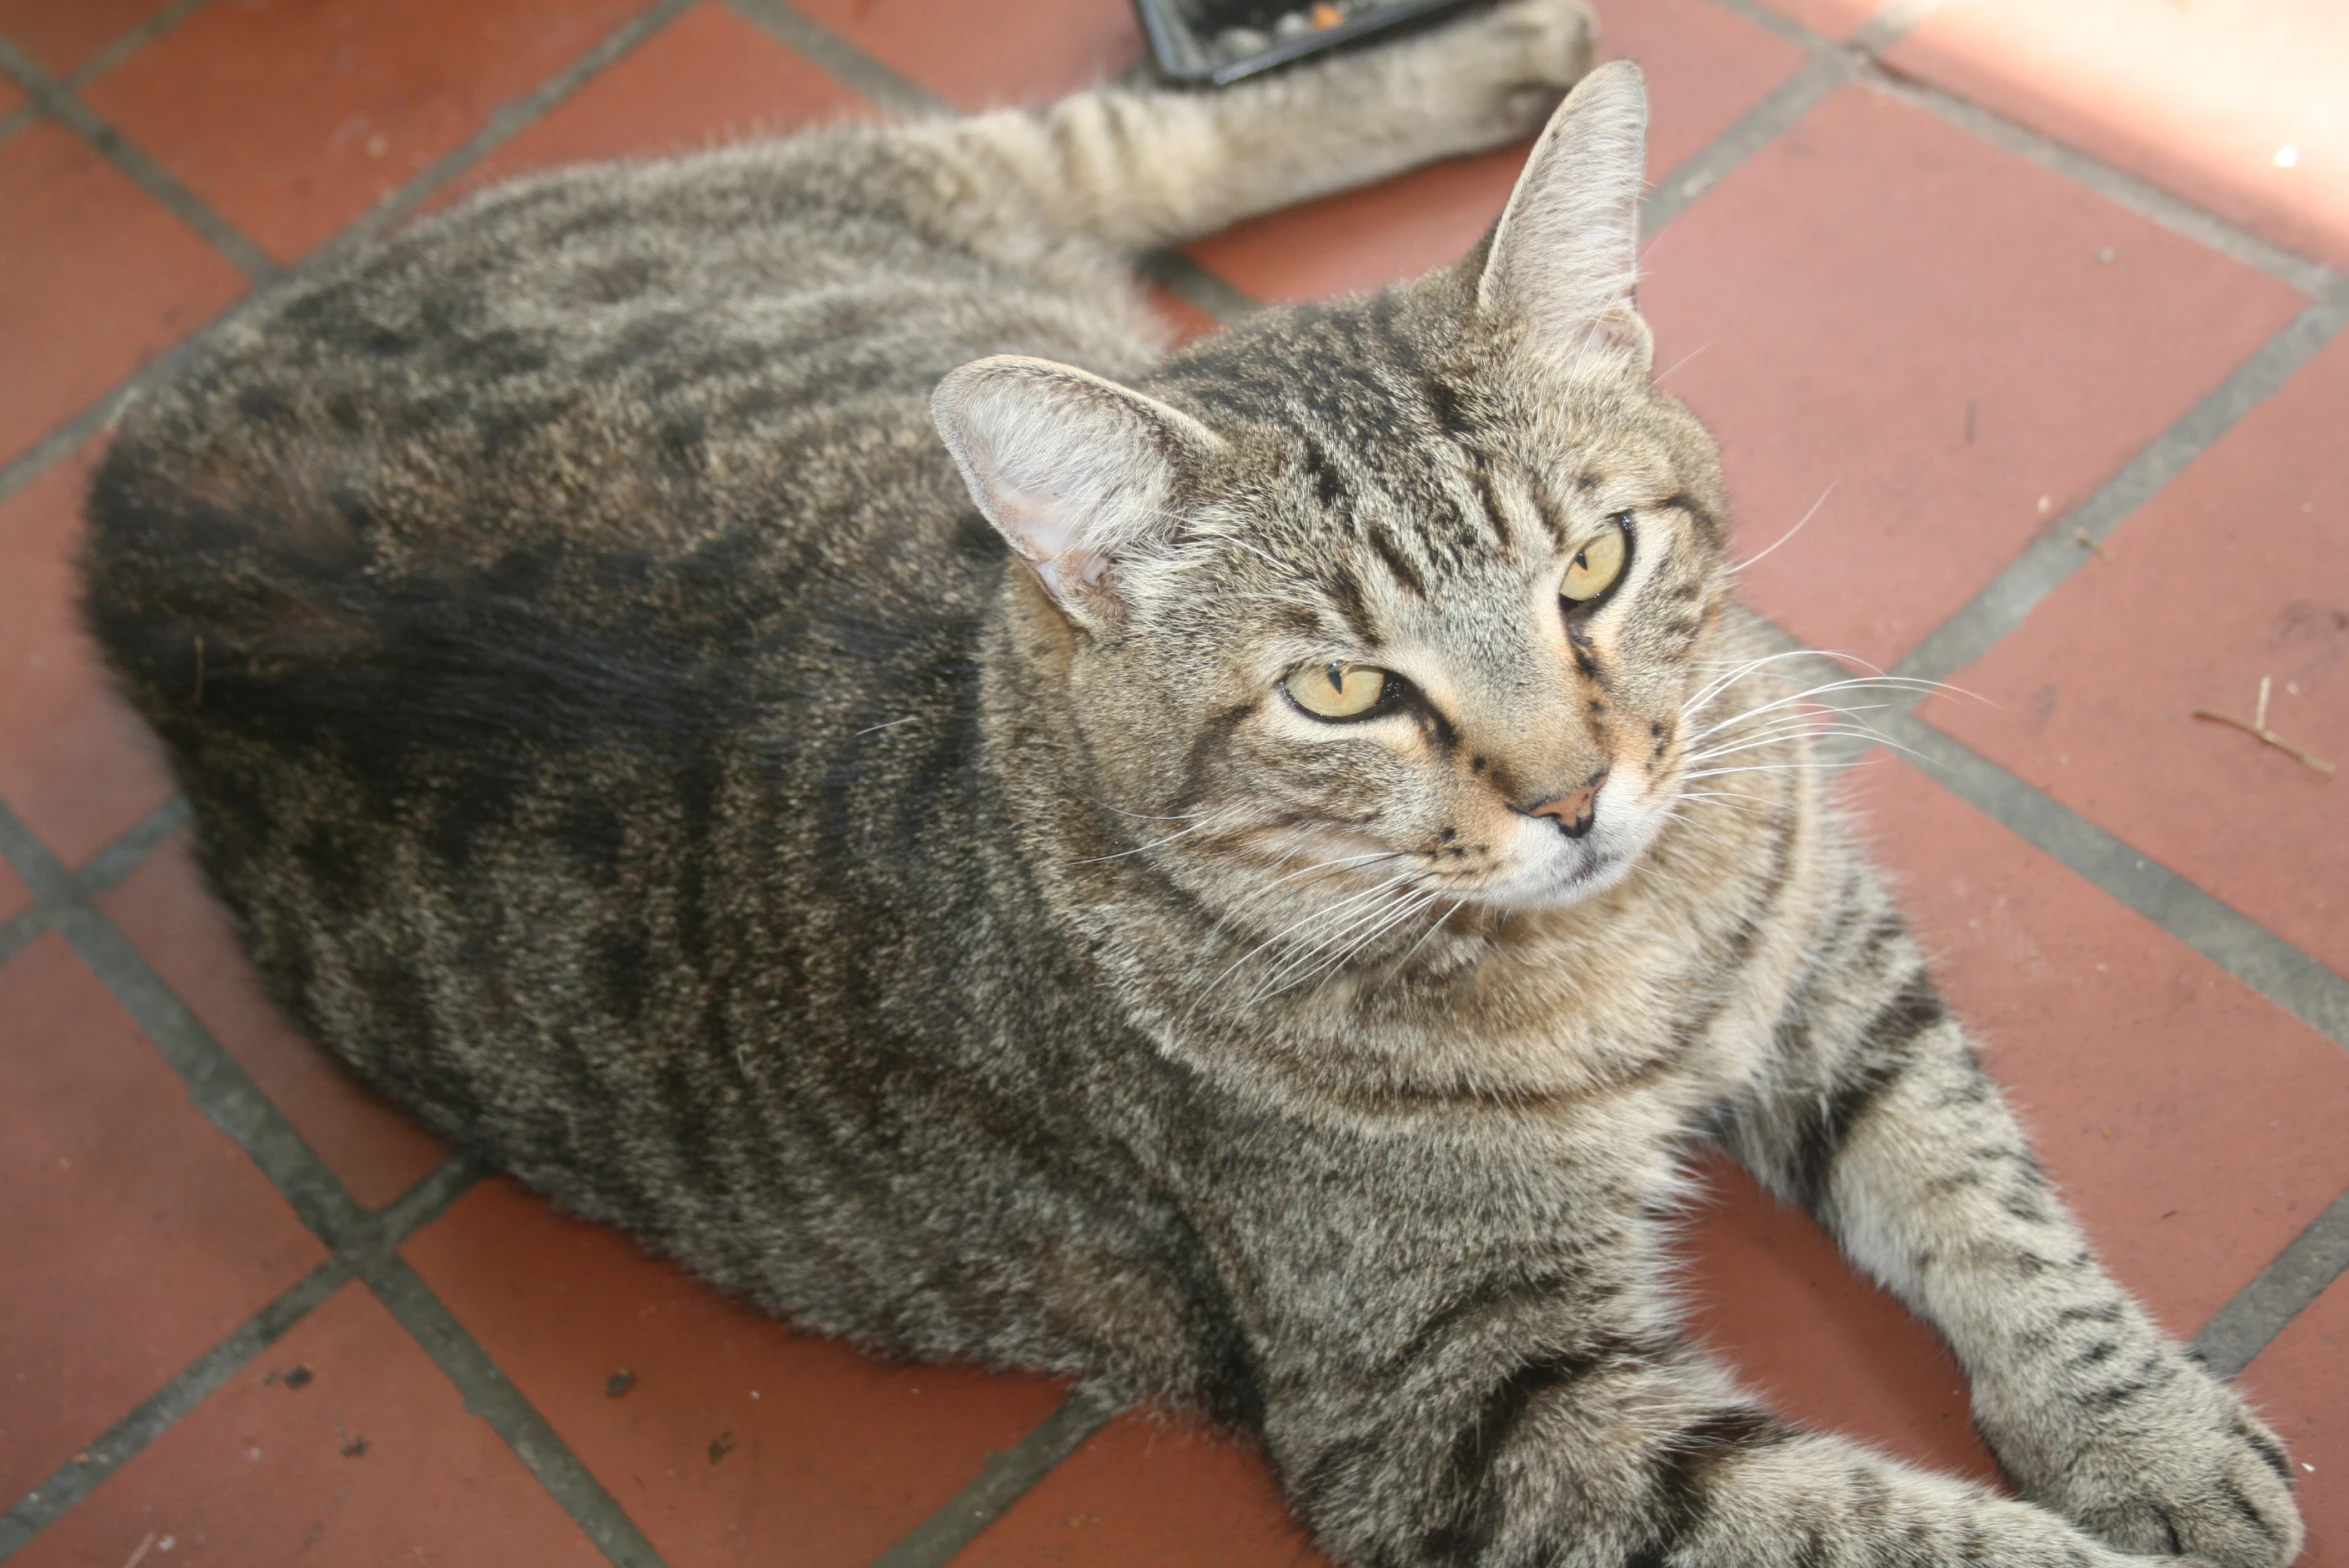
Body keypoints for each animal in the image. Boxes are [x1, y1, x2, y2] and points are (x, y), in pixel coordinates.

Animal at [82, 6, 2302, 1558]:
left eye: (1594, 563)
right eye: (1339, 690)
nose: (1578, 791)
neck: (1605, 954)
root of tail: (119, 478)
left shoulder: (1816, 926)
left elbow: (1983, 1189)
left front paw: (2138, 1428)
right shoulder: (1470, 1413)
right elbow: (1873, 1518)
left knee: (1130, 133)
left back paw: (1501, 50)